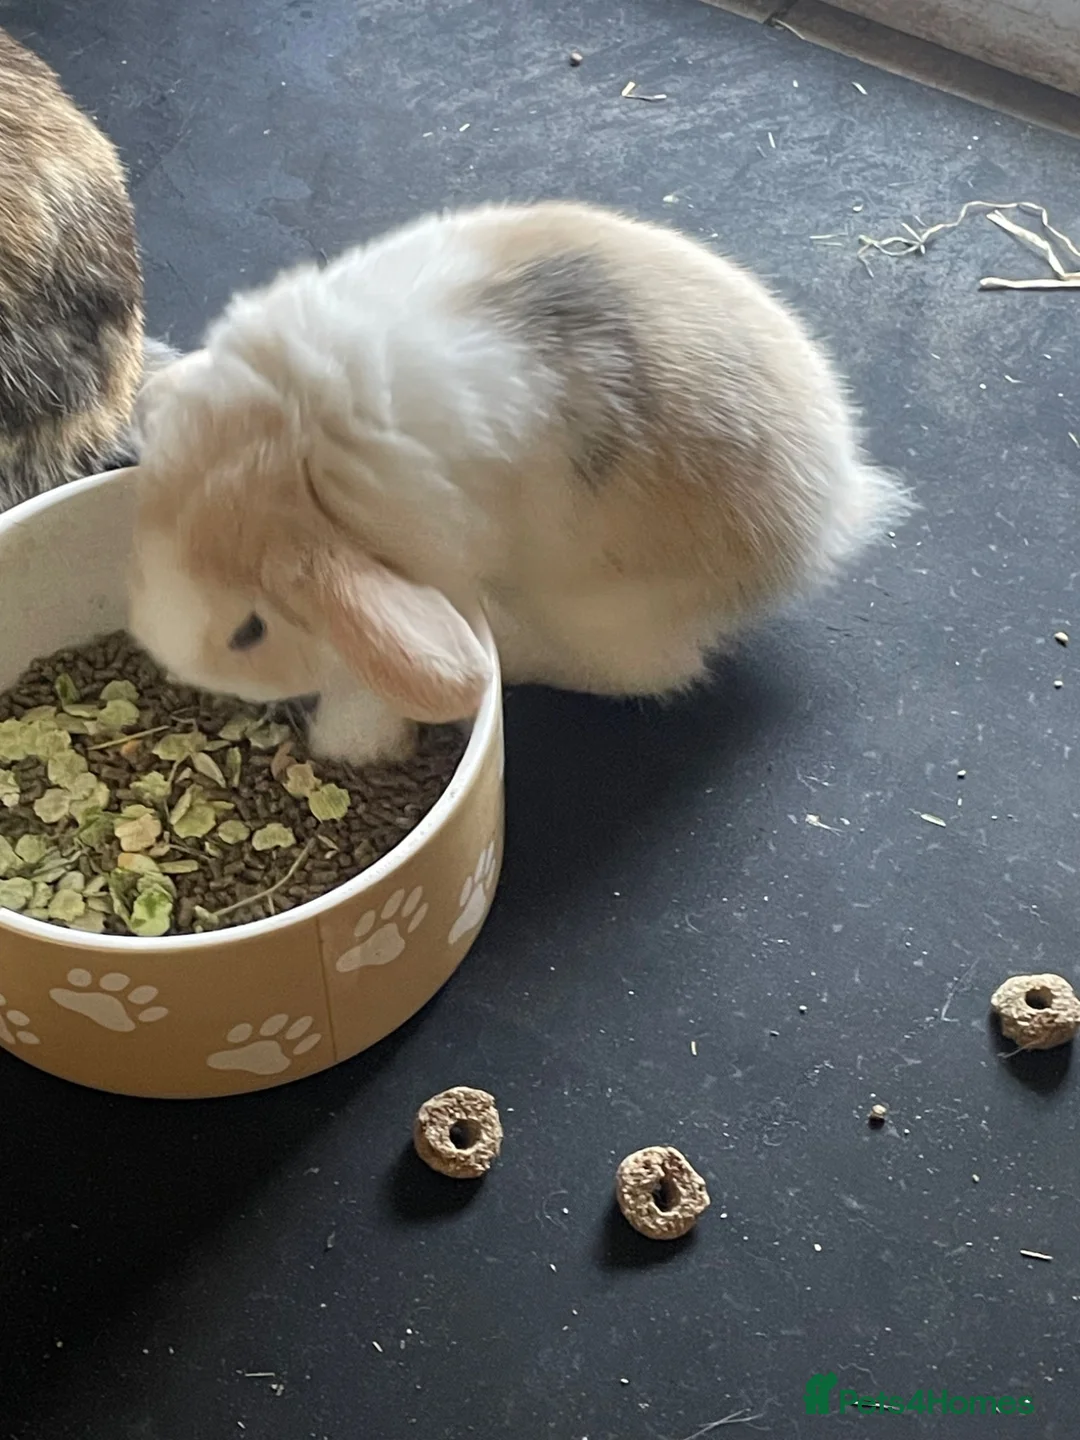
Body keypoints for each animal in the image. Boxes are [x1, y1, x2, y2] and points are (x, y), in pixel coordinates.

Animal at [127, 200, 912, 767]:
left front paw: (351, 744)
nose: (171, 662)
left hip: (609, 610)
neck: (289, 445)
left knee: (647, 673)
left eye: (249, 631)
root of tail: (832, 507)